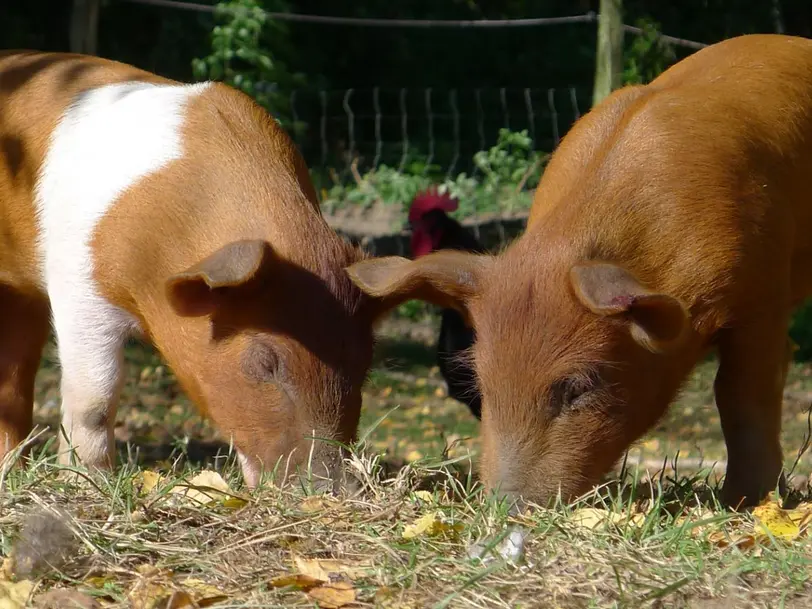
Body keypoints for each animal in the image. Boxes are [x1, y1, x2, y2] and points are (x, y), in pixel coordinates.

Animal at [0, 51, 380, 490]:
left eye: (363, 366)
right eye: (265, 363)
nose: (337, 489)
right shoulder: (77, 282)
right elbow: (96, 397)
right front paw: (90, 482)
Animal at [346, 34, 812, 508]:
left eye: (579, 386)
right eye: (480, 381)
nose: (507, 505)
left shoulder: (762, 299)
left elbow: (741, 394)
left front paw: (746, 501)